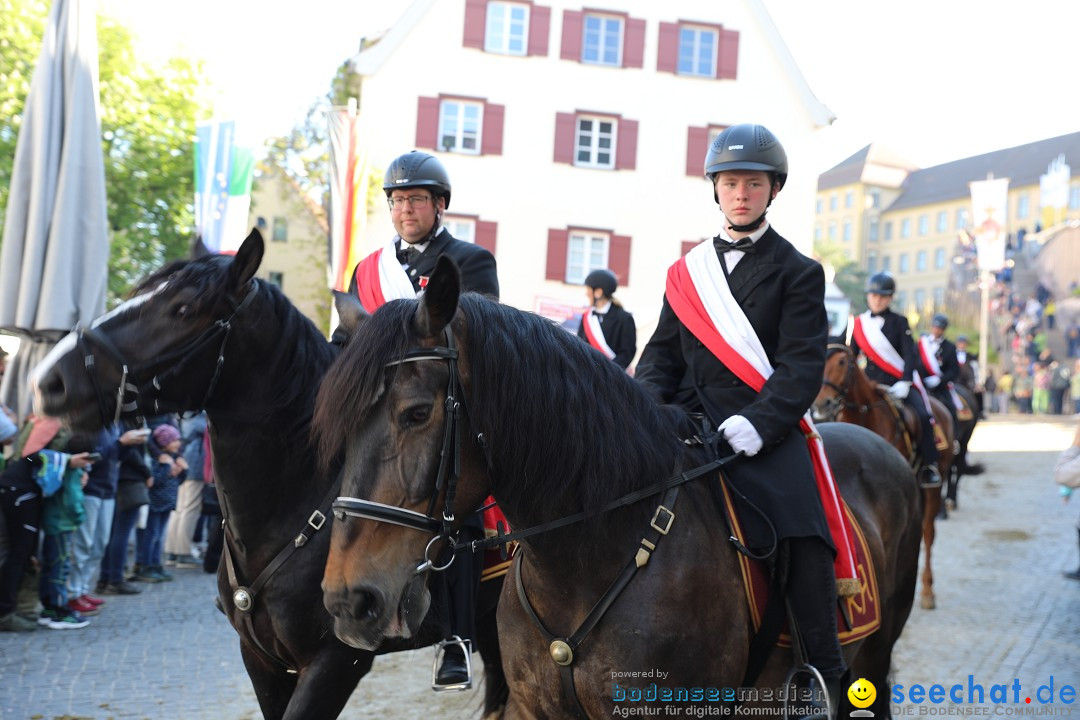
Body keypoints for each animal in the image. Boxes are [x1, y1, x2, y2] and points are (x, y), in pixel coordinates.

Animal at [812, 343, 954, 608]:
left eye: (842, 362)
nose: (821, 405)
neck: (865, 417)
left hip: (933, 484)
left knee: (928, 532)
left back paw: (927, 591)